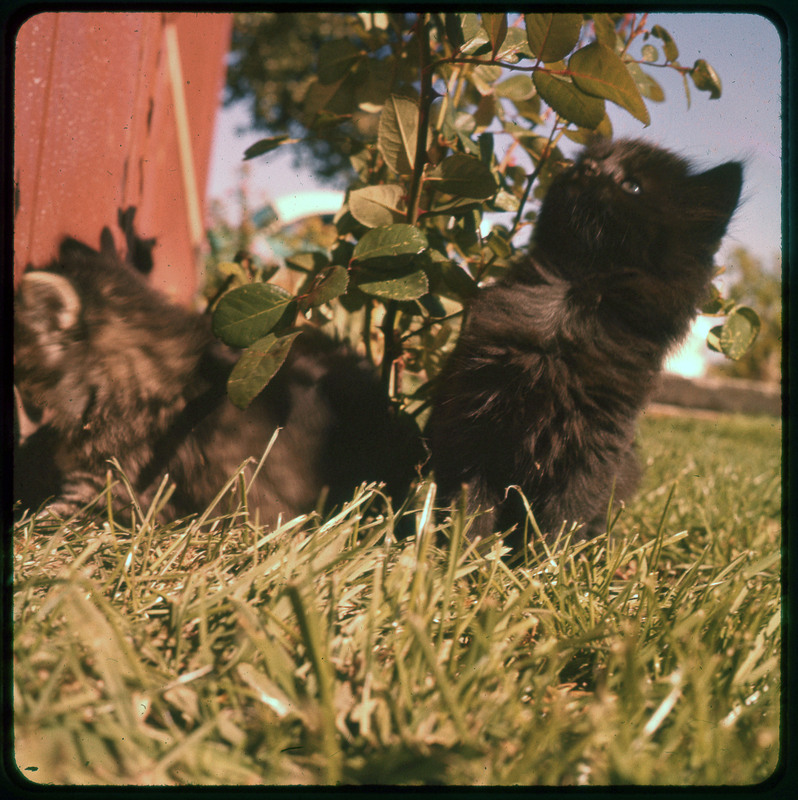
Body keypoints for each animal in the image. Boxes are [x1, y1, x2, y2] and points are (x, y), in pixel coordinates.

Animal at [428, 141, 748, 548]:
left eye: (632, 186)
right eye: (590, 159)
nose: (587, 168)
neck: (568, 302)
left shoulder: (595, 446)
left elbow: (562, 520)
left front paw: (543, 562)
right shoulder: (472, 422)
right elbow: (470, 506)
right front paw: (463, 555)